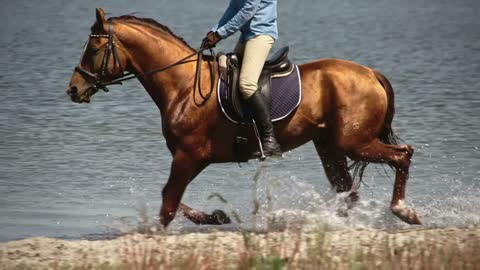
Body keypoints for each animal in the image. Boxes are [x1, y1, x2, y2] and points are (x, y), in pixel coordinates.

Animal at [66, 8, 420, 227]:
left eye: (93, 50)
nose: (73, 89)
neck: (183, 86)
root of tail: (371, 73)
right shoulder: (191, 158)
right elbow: (172, 199)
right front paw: (216, 216)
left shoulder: (188, 155)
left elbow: (168, 202)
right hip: (329, 146)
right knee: (348, 191)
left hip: (353, 141)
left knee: (403, 155)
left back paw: (404, 210)